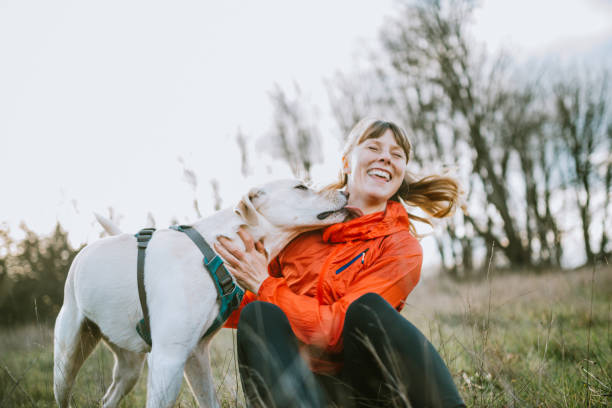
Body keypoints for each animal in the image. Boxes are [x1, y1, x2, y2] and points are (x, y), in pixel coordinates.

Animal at [53, 180, 350, 406]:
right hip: (67, 360)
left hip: (129, 366)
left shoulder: (195, 354)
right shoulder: (169, 358)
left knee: (109, 397)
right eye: (301, 187)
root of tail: (82, 254)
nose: (346, 191)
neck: (211, 251)